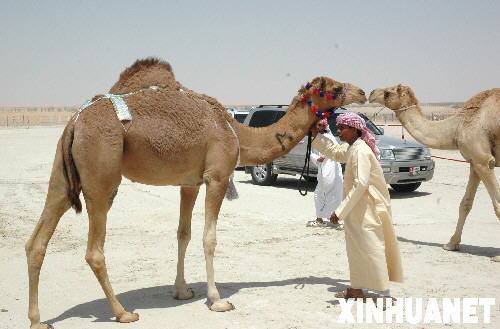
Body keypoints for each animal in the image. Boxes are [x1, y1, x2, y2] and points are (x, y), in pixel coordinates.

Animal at [24, 57, 368, 326]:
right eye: (335, 88)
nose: (362, 91)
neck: (237, 132)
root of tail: (74, 121)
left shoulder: (189, 183)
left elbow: (183, 233)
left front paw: (182, 290)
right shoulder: (216, 177)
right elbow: (209, 237)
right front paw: (217, 300)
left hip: (63, 177)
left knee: (36, 241)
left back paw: (38, 320)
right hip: (101, 176)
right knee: (94, 250)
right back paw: (123, 313)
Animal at [368, 84, 500, 262]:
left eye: (388, 92)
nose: (371, 93)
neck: (457, 126)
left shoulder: (483, 160)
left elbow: (497, 204)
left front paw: (498, 256)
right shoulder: (475, 162)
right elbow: (465, 204)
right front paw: (451, 244)